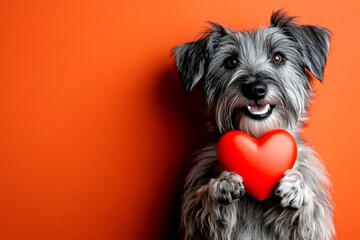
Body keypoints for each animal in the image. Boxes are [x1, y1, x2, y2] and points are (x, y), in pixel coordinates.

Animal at [174, 10, 334, 240]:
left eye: (278, 57)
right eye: (231, 61)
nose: (255, 89)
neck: (258, 137)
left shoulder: (313, 228)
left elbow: (311, 214)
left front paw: (297, 186)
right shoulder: (195, 227)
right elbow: (201, 205)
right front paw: (221, 184)